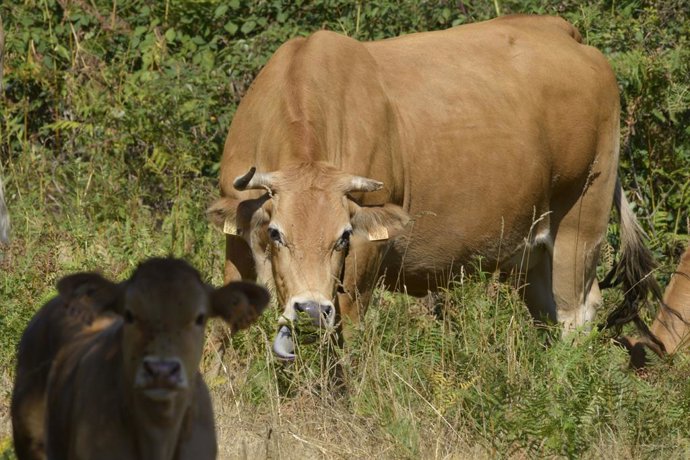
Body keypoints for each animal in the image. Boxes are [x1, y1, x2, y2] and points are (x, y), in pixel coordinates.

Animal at [208, 15, 660, 360]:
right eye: (276, 233)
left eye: (343, 237)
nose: (311, 310)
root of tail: (564, 33)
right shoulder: (237, 241)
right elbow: (221, 331)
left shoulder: (364, 258)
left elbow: (347, 339)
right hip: (533, 253)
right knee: (548, 312)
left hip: (582, 222)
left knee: (575, 315)